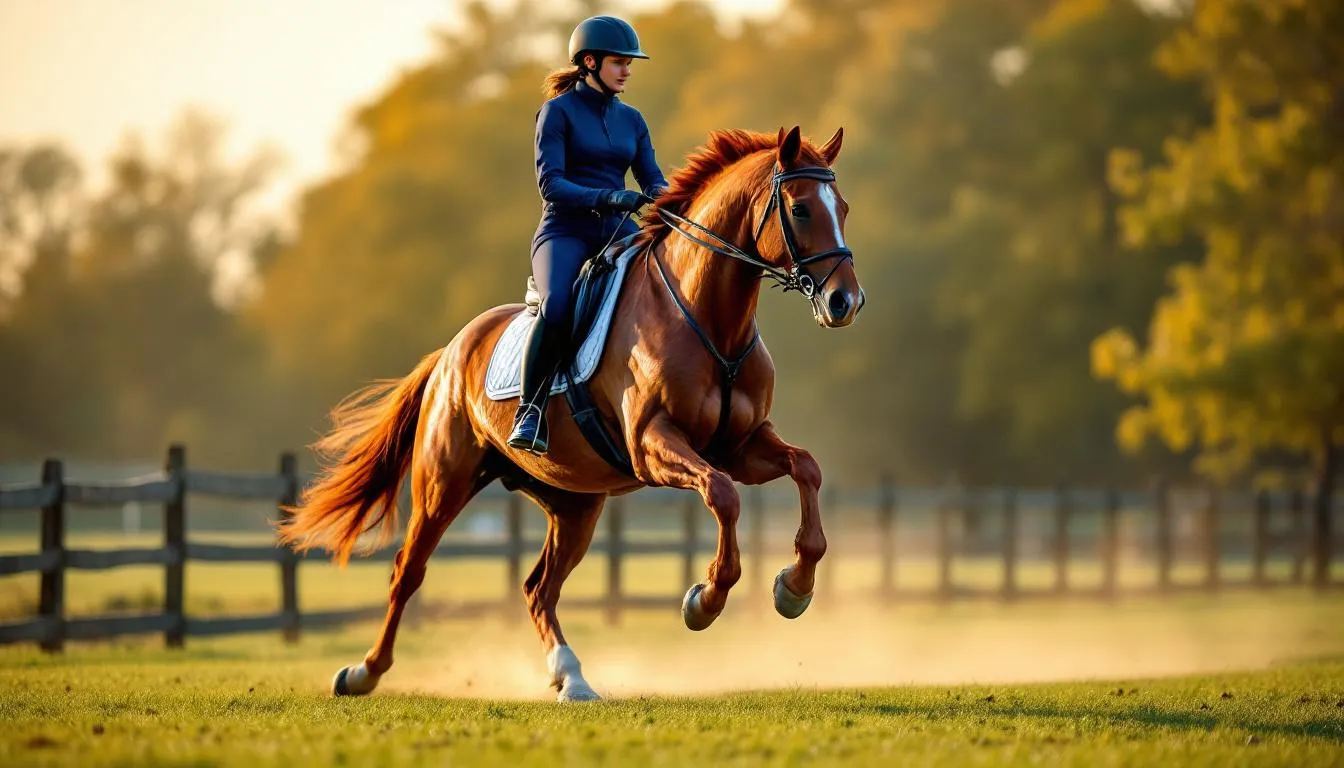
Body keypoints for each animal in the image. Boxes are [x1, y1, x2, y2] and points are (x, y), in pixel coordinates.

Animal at [278, 125, 865, 701]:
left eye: (843, 207)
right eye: (801, 209)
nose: (845, 302)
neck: (708, 320)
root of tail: (451, 351)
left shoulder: (741, 445)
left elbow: (805, 468)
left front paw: (794, 588)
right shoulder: (654, 444)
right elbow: (722, 495)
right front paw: (705, 599)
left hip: (574, 503)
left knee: (539, 588)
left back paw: (573, 677)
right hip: (443, 483)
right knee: (408, 572)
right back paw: (364, 673)